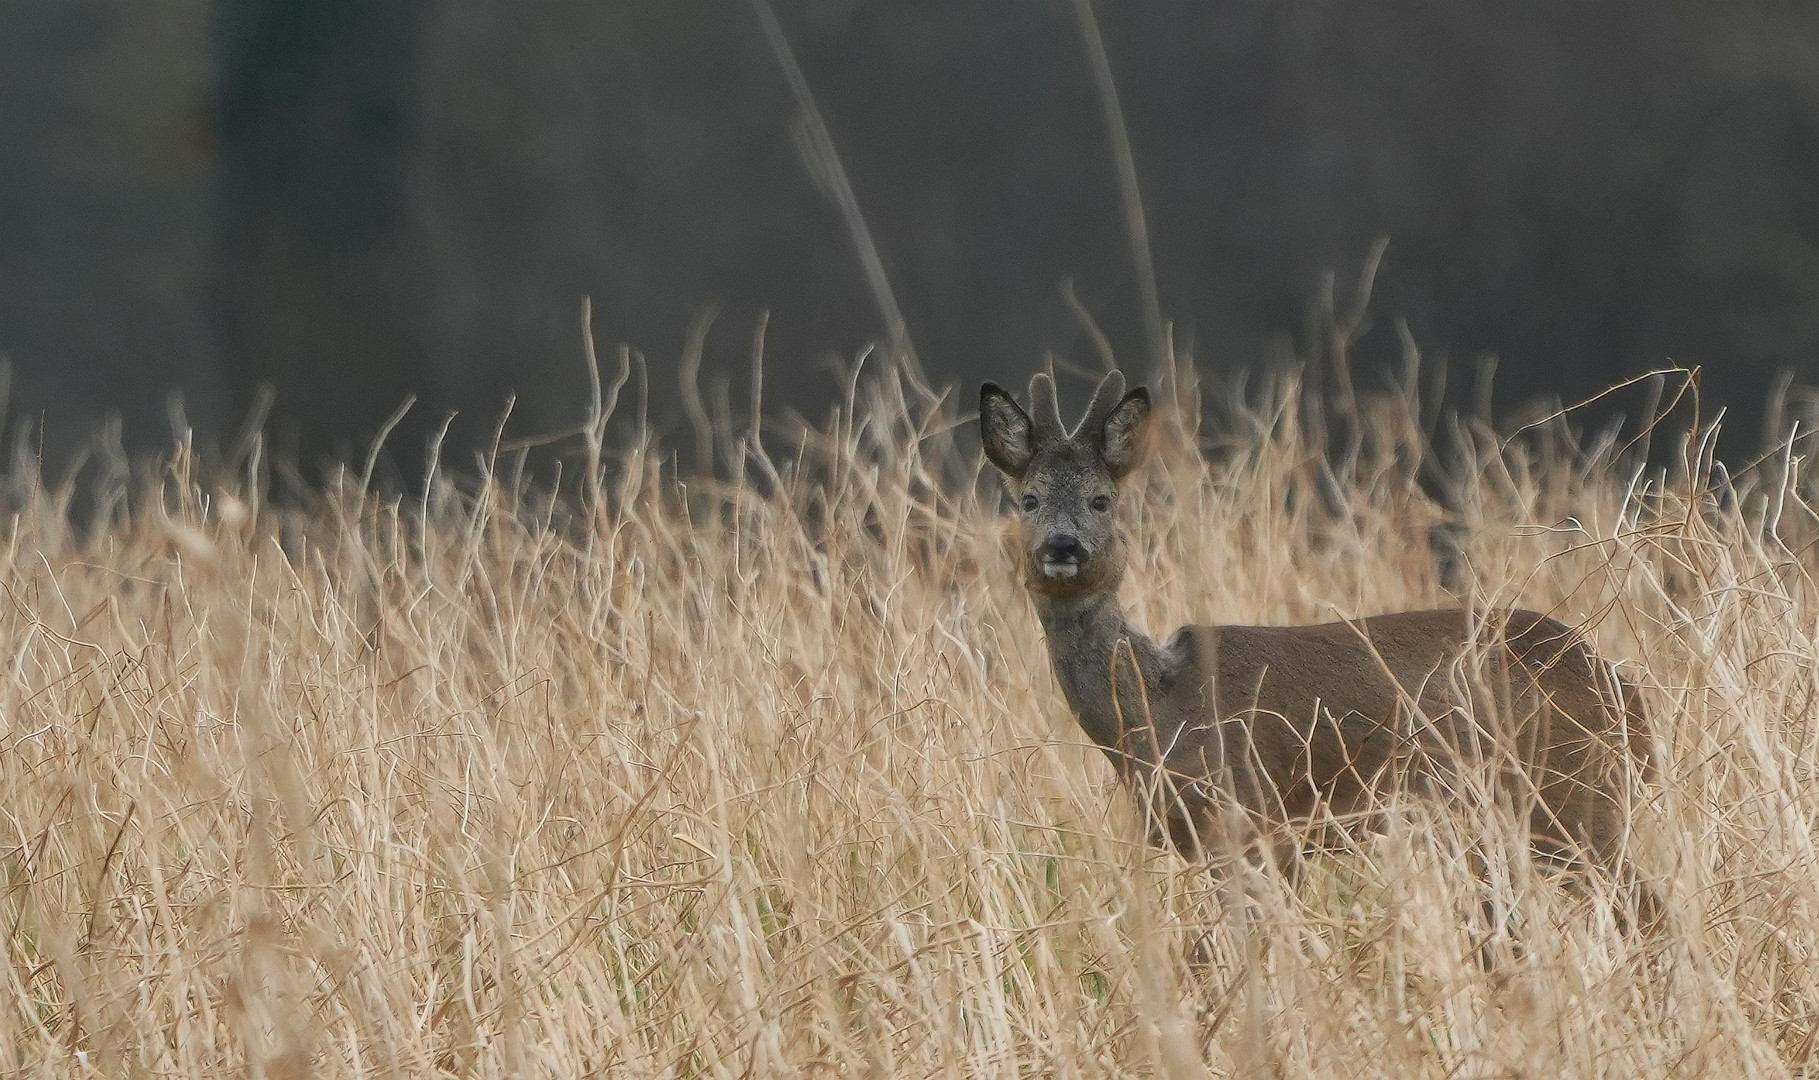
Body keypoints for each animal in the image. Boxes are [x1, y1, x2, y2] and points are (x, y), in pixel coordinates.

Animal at [989, 370, 1658, 909]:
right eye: (1028, 499)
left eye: (1102, 499)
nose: (1063, 547)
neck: (1157, 712)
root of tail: (1624, 695)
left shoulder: (1258, 821)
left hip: (1571, 794)